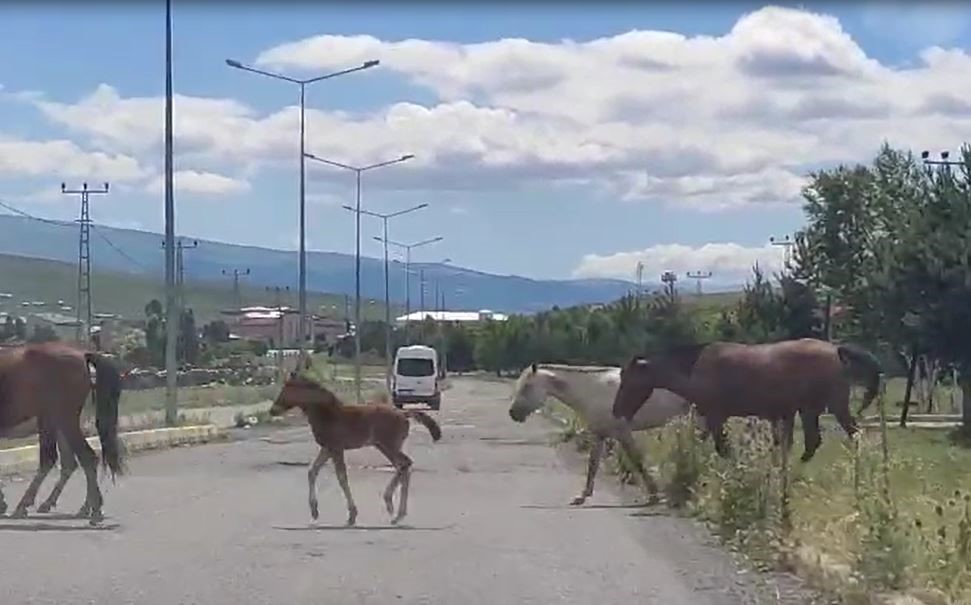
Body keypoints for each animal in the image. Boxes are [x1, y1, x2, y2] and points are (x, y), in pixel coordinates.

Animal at [270, 370, 444, 528]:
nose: (272, 410)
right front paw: (314, 512)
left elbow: (341, 477)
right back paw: (396, 513)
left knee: (404, 464)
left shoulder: (336, 448)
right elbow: (312, 471)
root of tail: (404, 413)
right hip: (386, 446)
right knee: (403, 467)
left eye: (286, 389)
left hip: (388, 446)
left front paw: (352, 515)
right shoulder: (327, 448)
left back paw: (392, 507)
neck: (327, 414)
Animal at [508, 364, 692, 504]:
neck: (594, 390)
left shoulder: (623, 433)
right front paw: (583, 495)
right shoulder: (599, 434)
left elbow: (637, 461)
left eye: (527, 386)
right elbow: (593, 464)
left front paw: (654, 495)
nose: (513, 413)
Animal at [616, 338, 880, 460]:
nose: (617, 410)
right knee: (814, 442)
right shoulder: (710, 417)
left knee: (851, 435)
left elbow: (723, 448)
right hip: (810, 410)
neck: (694, 369)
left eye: (628, 380)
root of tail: (836, 349)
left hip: (827, 407)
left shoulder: (716, 416)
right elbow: (705, 443)